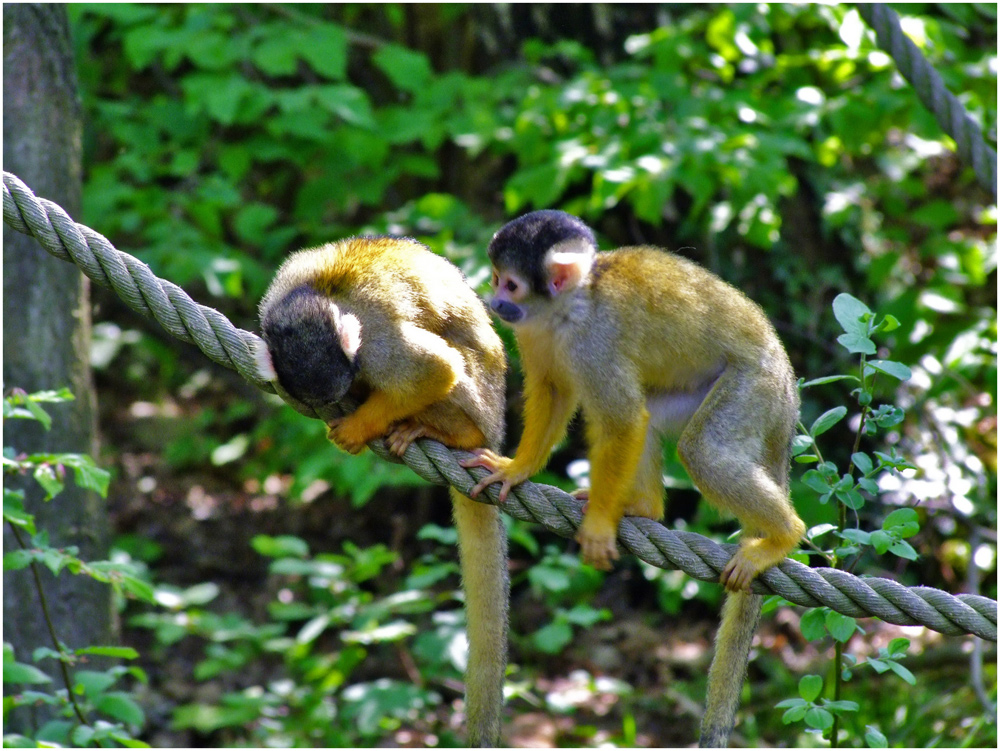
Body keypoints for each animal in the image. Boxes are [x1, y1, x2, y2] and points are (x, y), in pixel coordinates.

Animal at [258, 236, 508, 748]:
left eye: (341, 383)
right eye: (325, 397)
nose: (339, 401)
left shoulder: (374, 342)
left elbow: (433, 369)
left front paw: (358, 426)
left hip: (481, 404)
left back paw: (447, 432)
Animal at [460, 210, 804, 748]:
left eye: (510, 283)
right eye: (495, 279)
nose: (494, 302)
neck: (570, 306)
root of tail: (788, 385)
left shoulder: (593, 342)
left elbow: (622, 421)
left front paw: (600, 525)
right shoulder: (536, 331)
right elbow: (554, 390)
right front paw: (516, 468)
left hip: (756, 387)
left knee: (700, 449)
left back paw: (784, 535)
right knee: (654, 412)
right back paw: (645, 510)